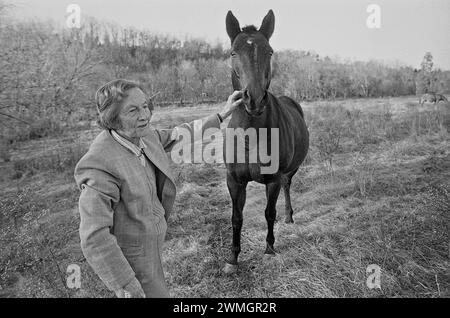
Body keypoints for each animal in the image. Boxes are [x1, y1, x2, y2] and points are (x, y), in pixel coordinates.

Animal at [222, 9, 308, 274]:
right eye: (233, 52)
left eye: (269, 51)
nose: (255, 100)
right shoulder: (234, 181)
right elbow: (236, 217)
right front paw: (233, 257)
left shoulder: (273, 179)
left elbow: (269, 212)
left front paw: (269, 248)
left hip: (289, 171)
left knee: (288, 187)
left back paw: (289, 216)